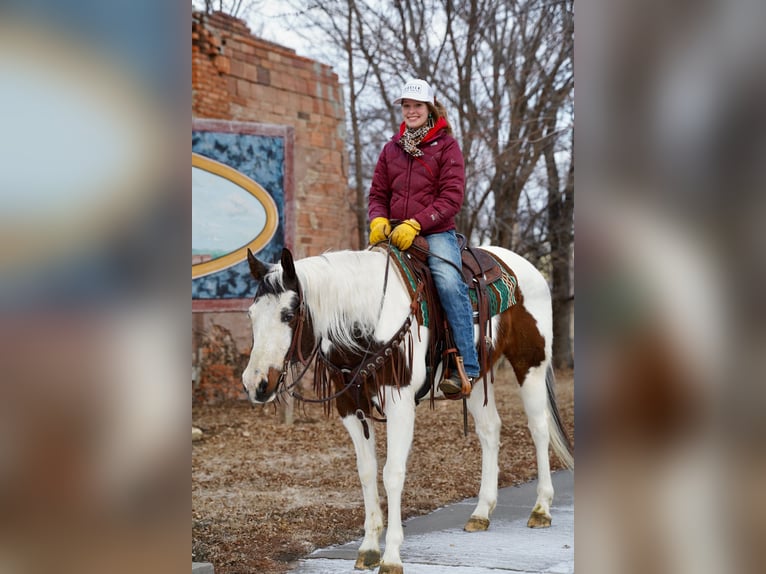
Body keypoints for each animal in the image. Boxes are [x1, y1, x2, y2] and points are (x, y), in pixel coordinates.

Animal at [243, 246, 572, 574]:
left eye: (288, 315)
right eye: (251, 314)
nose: (255, 383)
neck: (368, 321)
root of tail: (523, 266)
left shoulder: (399, 405)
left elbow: (392, 473)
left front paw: (391, 557)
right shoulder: (351, 407)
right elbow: (366, 471)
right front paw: (369, 548)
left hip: (530, 365)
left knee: (539, 428)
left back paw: (541, 509)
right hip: (478, 377)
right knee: (490, 430)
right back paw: (481, 512)